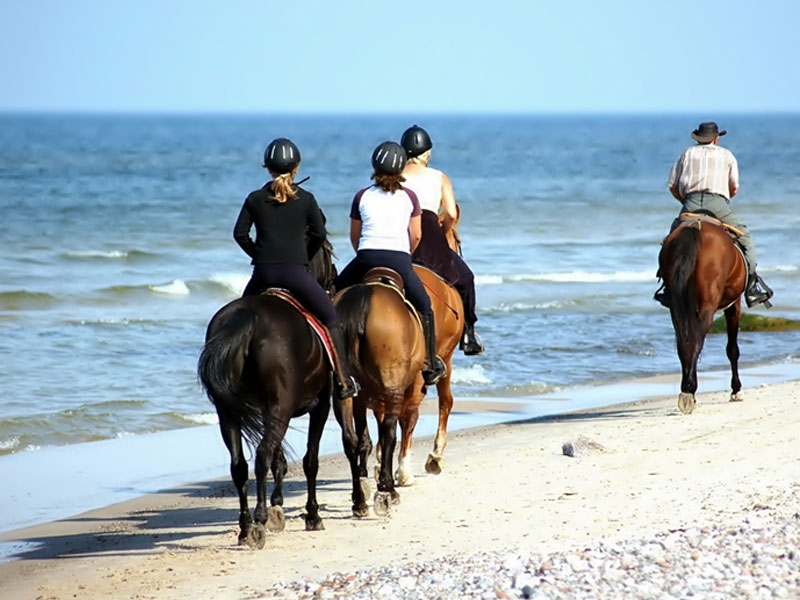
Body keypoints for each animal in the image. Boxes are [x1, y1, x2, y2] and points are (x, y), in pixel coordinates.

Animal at [197, 241, 338, 548]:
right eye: (328, 252)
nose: (334, 278)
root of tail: (247, 316)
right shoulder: (319, 406)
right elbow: (310, 461)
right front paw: (311, 515)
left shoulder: (266, 408)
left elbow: (279, 458)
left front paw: (278, 505)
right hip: (281, 408)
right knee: (262, 454)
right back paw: (259, 519)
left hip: (230, 411)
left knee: (239, 464)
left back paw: (245, 526)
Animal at [333, 274, 426, 517]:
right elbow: (393, 432)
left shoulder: (360, 398)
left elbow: (363, 439)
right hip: (393, 387)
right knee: (390, 433)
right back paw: (386, 492)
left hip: (343, 392)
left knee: (350, 438)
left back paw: (358, 500)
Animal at [657, 216, 747, 414]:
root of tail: (693, 227)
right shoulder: (734, 304)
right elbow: (732, 349)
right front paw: (736, 390)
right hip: (707, 305)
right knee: (697, 341)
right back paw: (690, 389)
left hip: (677, 308)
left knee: (684, 343)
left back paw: (687, 389)